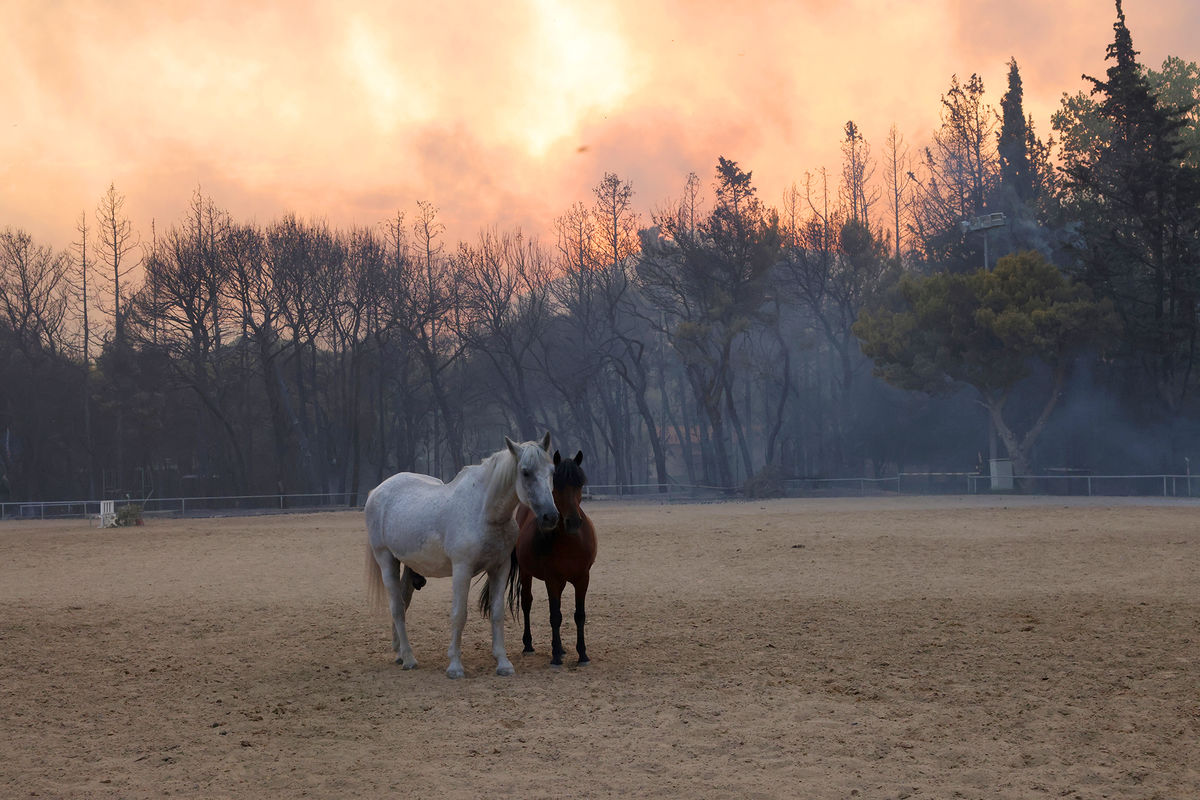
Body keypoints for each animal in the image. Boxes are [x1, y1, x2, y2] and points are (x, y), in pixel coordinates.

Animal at [362, 434, 559, 681]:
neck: (485, 513)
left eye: (552, 470)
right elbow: (459, 614)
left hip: (407, 564)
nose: (550, 516)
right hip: (386, 560)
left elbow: (497, 613)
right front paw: (455, 666)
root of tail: (376, 492)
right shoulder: (462, 569)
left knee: (404, 602)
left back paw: (399, 653)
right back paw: (408, 659)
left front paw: (503, 663)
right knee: (397, 608)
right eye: (525, 472)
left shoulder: (500, 568)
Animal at [480, 450, 597, 671]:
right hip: (528, 574)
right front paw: (556, 657)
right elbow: (555, 616)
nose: (573, 522)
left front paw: (583, 654)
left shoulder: (582, 579)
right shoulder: (551, 579)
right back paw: (529, 645)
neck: (571, 542)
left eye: (580, 483)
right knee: (527, 602)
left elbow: (579, 615)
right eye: (556, 485)